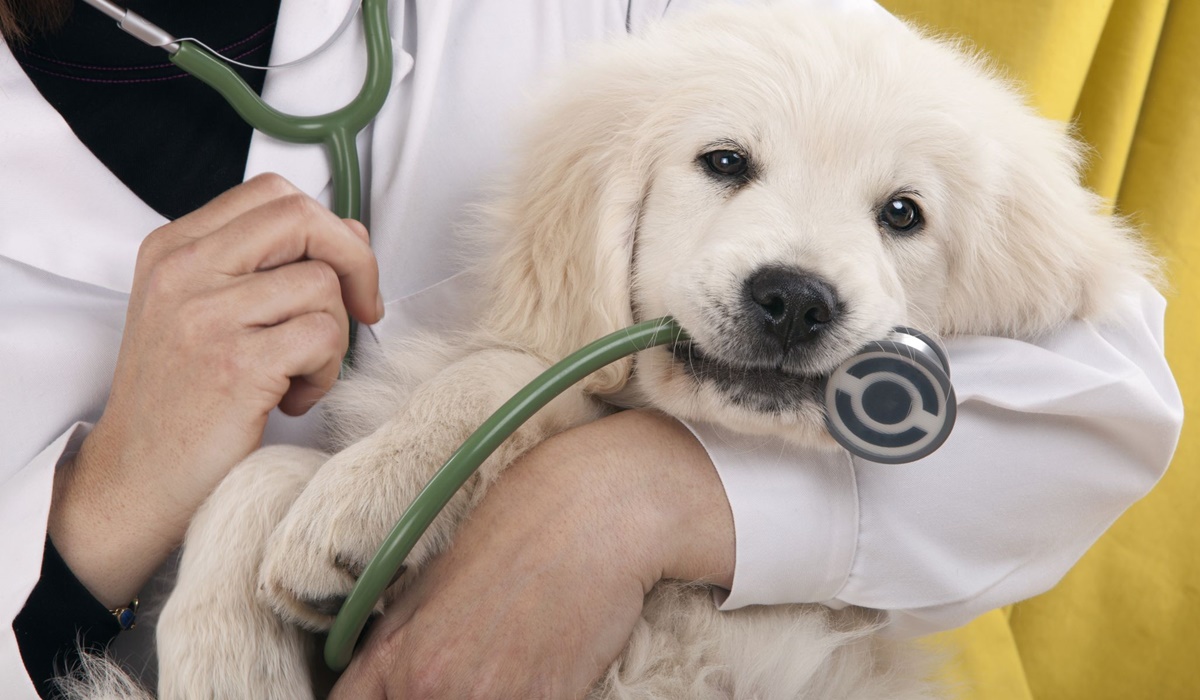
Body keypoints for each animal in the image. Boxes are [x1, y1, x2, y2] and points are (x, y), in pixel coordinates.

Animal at [58, 1, 1152, 700]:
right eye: (724, 162)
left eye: (903, 215)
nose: (796, 300)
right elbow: (260, 469)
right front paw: (232, 648)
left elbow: (505, 373)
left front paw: (359, 502)